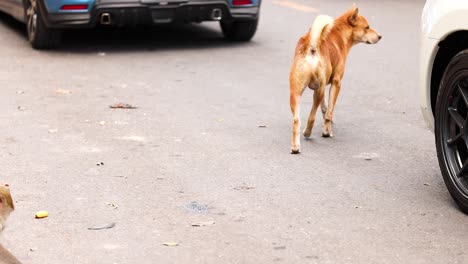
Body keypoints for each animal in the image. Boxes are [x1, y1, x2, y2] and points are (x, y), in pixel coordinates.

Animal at [288, 4, 380, 154]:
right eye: (367, 27)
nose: (380, 36)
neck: (340, 33)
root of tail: (312, 47)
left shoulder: (320, 87)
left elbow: (325, 108)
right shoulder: (336, 83)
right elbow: (329, 111)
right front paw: (327, 131)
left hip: (296, 93)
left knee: (297, 120)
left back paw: (295, 147)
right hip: (318, 92)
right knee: (311, 117)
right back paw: (308, 132)